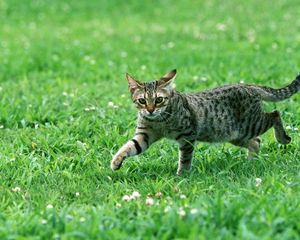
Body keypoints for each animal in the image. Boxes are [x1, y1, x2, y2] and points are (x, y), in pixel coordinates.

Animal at [110, 69, 300, 174]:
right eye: (142, 101)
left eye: (158, 100)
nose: (150, 110)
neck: (158, 121)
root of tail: (249, 85)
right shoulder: (144, 134)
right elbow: (129, 146)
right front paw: (116, 161)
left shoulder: (187, 135)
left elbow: (185, 159)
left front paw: (182, 176)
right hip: (236, 134)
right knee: (257, 141)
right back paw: (250, 162)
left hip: (251, 124)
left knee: (275, 114)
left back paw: (283, 138)